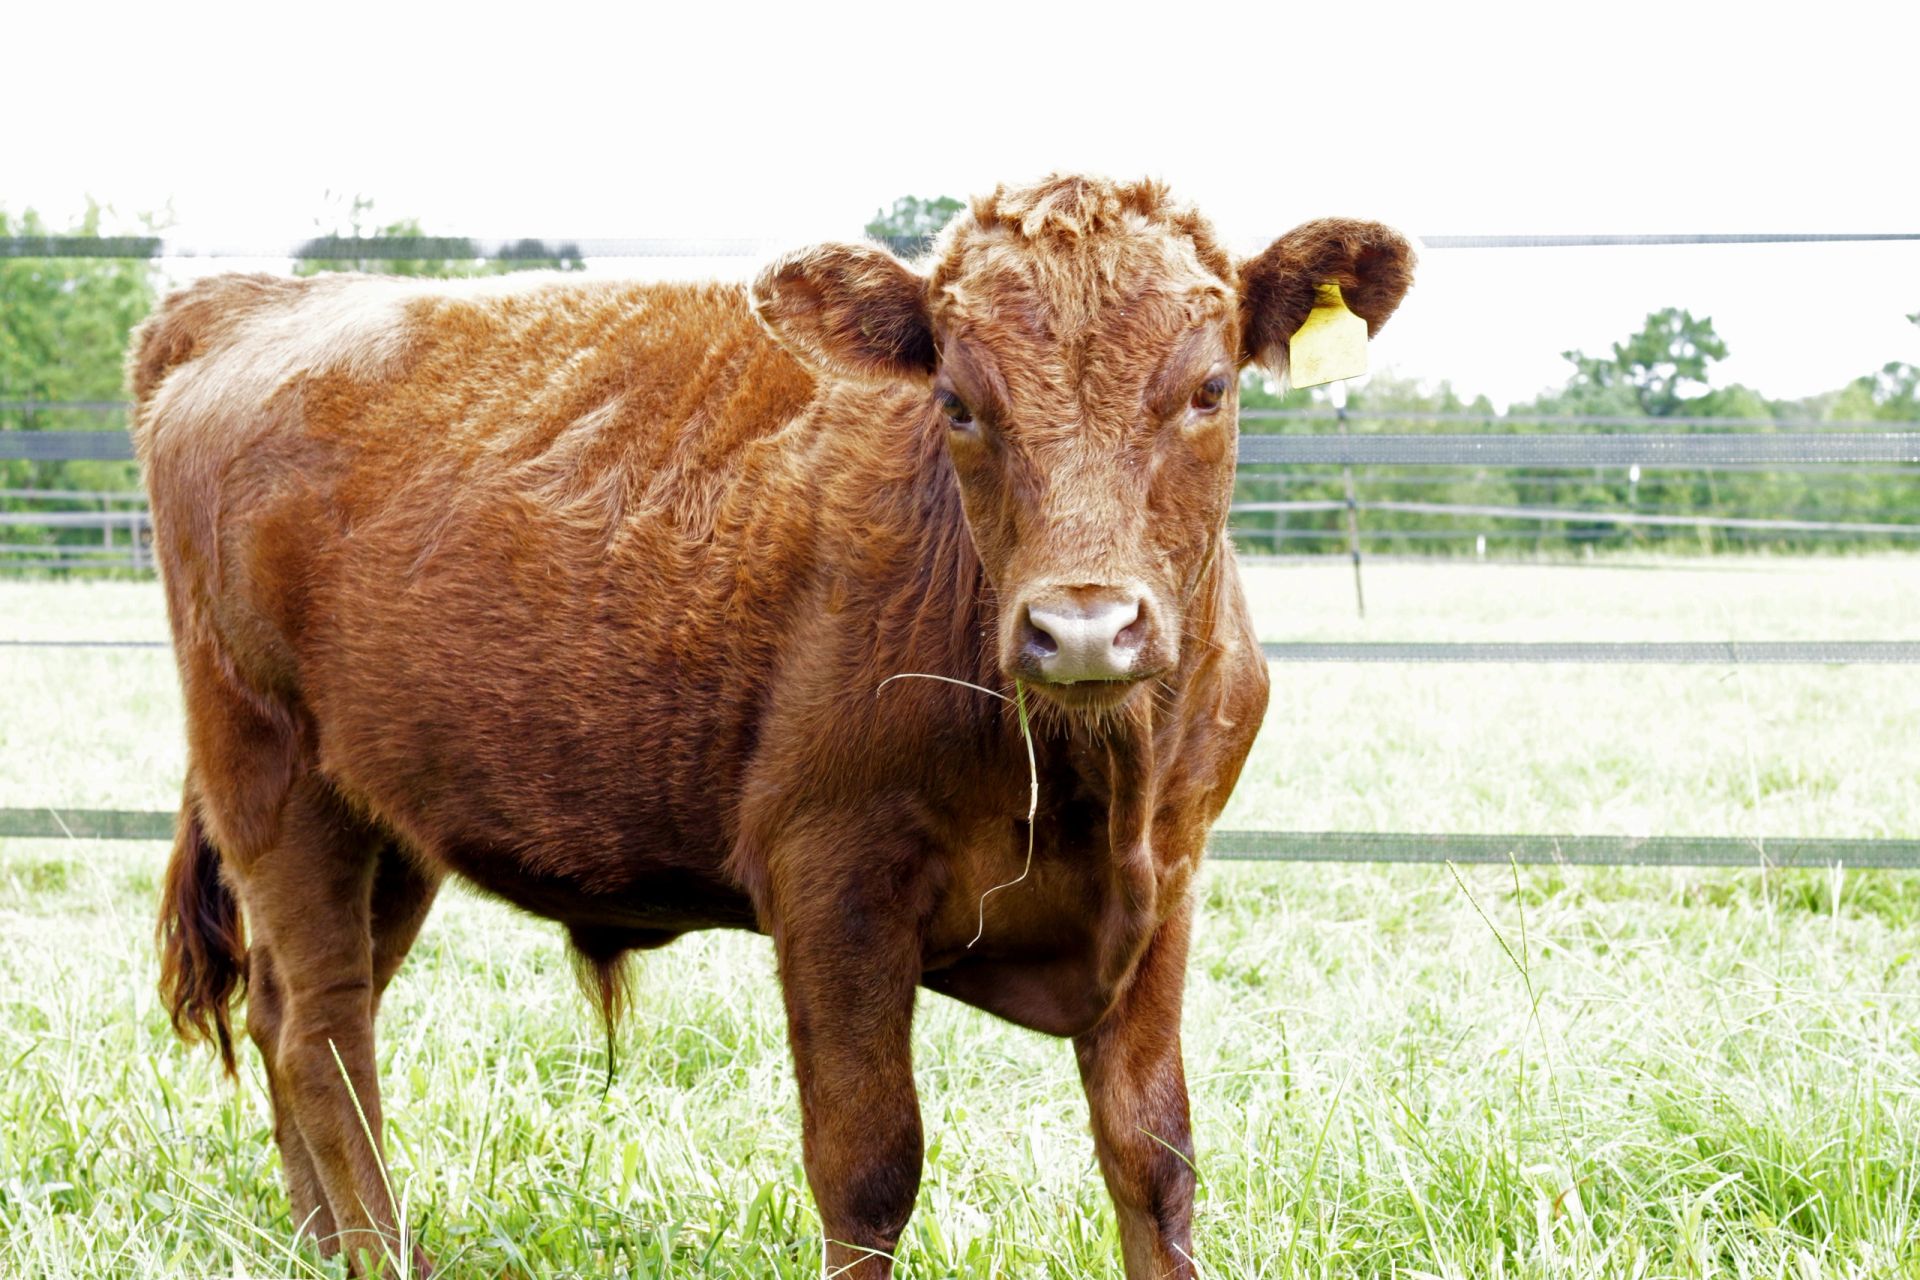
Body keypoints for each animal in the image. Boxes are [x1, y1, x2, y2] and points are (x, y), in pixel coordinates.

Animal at [135, 174, 1412, 1278]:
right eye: (959, 401)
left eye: (1210, 389)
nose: (1085, 627)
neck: (1091, 779)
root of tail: (249, 300)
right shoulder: (834, 874)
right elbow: (868, 1164)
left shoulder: (1171, 875)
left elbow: (1154, 1155)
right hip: (272, 772)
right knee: (323, 1033)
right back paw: (381, 1253)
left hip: (388, 819)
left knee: (295, 1012)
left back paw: (323, 1247)